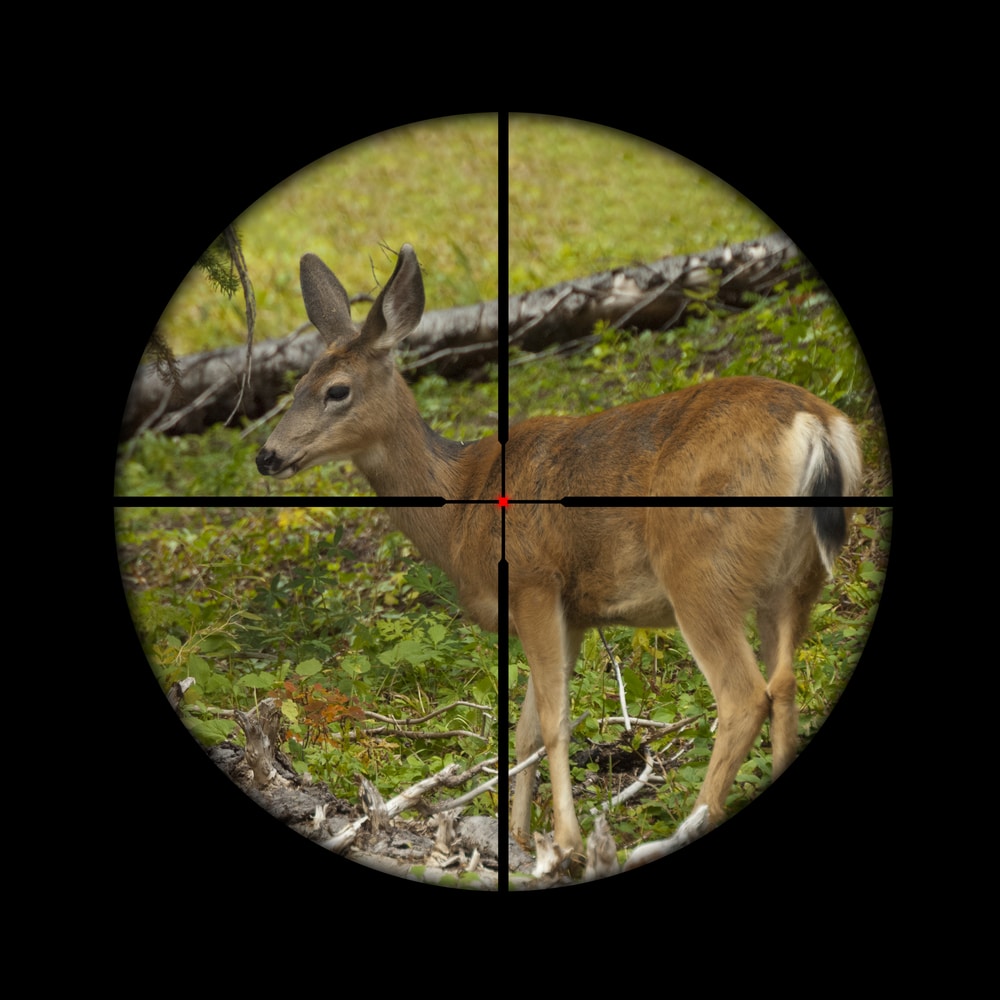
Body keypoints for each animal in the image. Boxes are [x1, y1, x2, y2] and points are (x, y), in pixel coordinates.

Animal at [256, 246, 860, 872]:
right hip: (796, 578)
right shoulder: (573, 611)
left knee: (743, 697)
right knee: (786, 684)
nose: (266, 455)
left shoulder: (532, 579)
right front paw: (521, 839)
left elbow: (552, 720)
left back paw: (678, 828)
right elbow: (524, 728)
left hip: (699, 570)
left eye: (337, 390)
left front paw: (566, 841)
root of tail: (818, 425)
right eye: (297, 385)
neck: (462, 504)